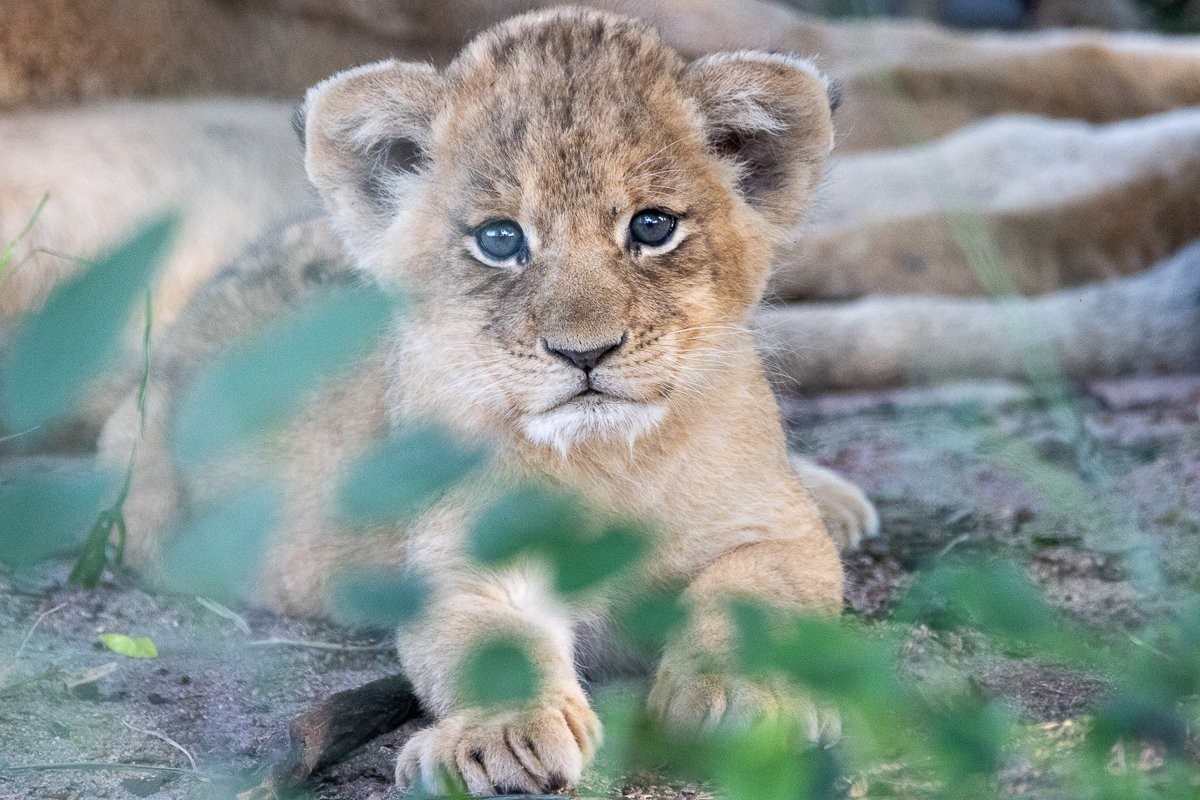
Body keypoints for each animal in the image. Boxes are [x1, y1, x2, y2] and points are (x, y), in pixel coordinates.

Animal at [98, 9, 874, 795]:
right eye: (500, 239)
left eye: (652, 227)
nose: (584, 352)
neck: (609, 459)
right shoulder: (465, 563)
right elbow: (489, 646)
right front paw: (501, 742)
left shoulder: (773, 530)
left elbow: (757, 600)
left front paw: (752, 701)